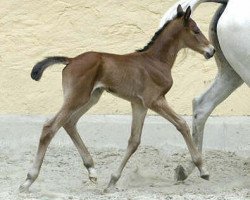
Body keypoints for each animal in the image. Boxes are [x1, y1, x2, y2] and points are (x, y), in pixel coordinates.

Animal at [19, 5, 215, 192]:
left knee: (69, 123)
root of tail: (71, 59)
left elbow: (134, 141)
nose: (211, 50)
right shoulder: (155, 100)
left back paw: (91, 170)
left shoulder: (139, 104)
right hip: (77, 97)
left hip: (92, 97)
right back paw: (28, 180)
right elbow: (182, 124)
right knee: (50, 127)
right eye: (196, 30)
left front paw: (112, 181)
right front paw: (203, 169)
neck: (155, 60)